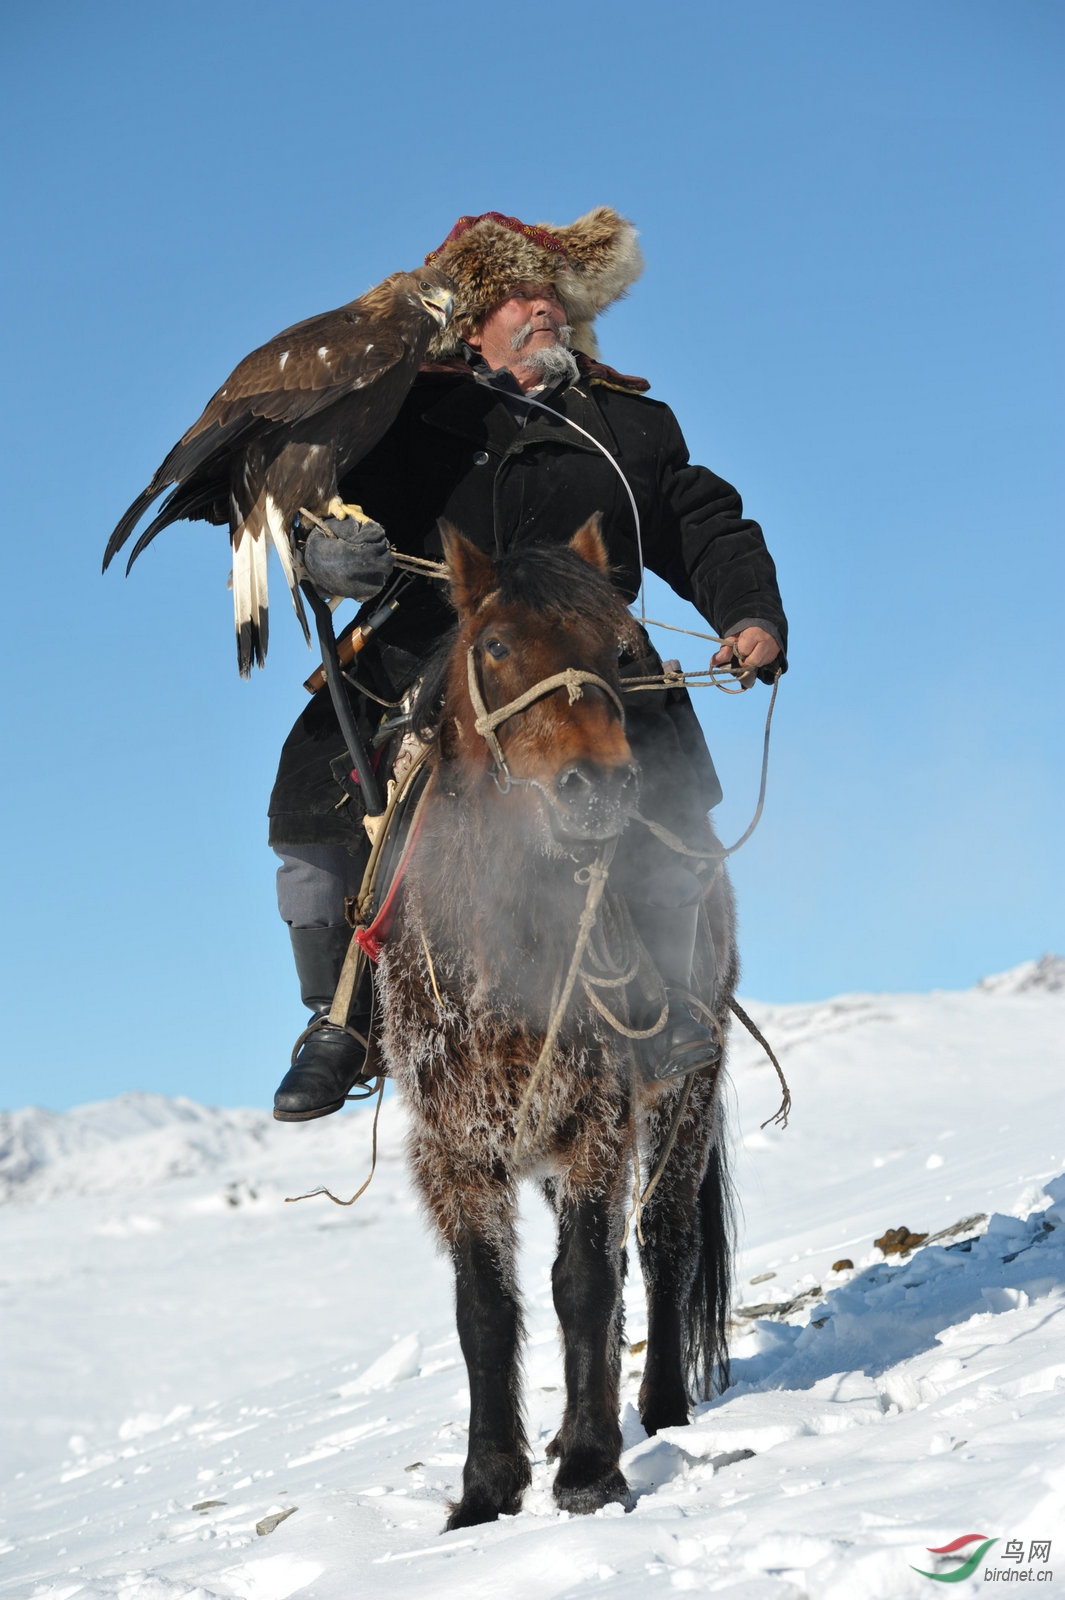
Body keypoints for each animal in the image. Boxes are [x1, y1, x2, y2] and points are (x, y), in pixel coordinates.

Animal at [377, 518, 735, 1529]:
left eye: (623, 647)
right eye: (496, 646)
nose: (596, 788)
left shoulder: (596, 1118)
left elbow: (582, 1281)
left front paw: (588, 1468)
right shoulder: (455, 1148)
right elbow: (482, 1310)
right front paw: (486, 1486)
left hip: (686, 1095)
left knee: (660, 1244)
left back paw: (658, 1407)